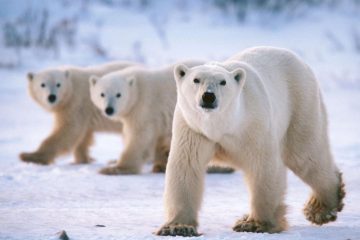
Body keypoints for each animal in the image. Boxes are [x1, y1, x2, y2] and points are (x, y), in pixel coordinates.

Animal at [157, 47, 346, 236]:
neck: (222, 124)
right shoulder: (193, 128)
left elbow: (263, 166)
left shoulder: (253, 124)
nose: (208, 96)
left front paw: (255, 224)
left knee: (304, 155)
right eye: (196, 80)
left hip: (300, 104)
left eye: (223, 82)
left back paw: (321, 208)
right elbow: (186, 167)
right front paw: (177, 227)